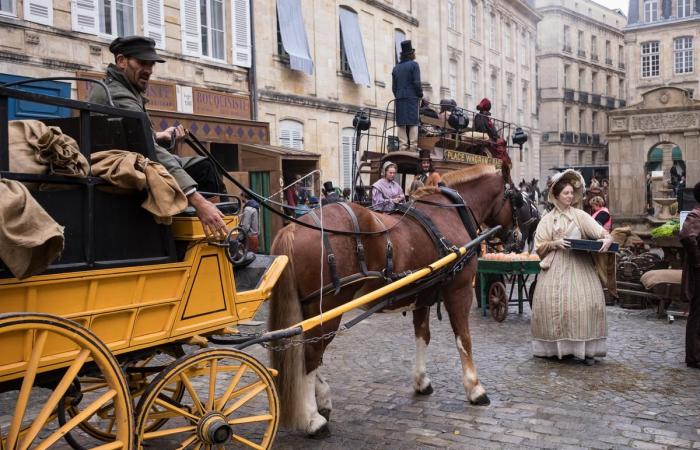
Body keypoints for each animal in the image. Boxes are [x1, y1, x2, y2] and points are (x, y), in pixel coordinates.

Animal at [270, 164, 516, 436]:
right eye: (517, 195)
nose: (519, 234)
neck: (449, 214)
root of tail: (292, 228)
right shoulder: (459, 291)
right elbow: (464, 339)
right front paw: (475, 389)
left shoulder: (423, 294)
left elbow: (423, 336)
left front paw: (421, 381)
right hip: (328, 309)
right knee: (311, 355)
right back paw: (313, 419)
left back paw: (322, 399)